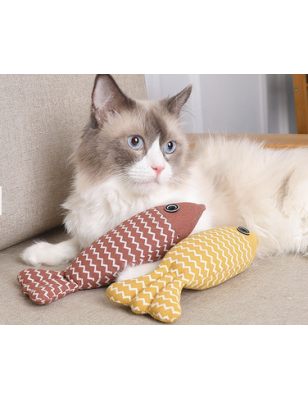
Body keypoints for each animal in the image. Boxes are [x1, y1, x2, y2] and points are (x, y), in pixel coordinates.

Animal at [22, 73, 308, 280]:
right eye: (136, 142)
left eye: (169, 147)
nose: (159, 168)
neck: (125, 199)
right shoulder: (95, 230)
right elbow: (76, 244)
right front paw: (39, 253)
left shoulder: (208, 230)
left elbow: (167, 258)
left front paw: (125, 275)